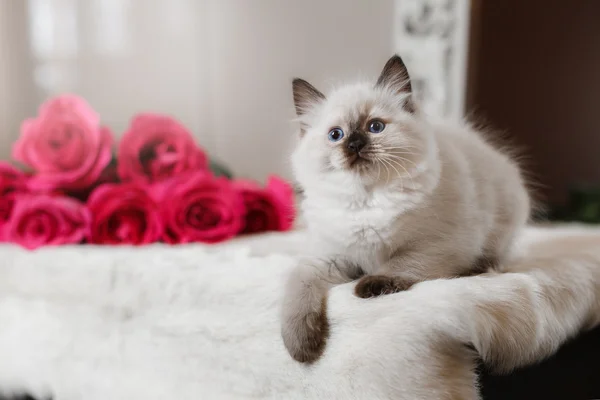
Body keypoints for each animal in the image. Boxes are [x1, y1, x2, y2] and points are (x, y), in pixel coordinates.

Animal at [282, 54, 528, 364]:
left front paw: (367, 287)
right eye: (336, 135)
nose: (354, 144)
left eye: (375, 127)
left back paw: (479, 269)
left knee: (494, 257)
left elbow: (400, 265)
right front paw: (303, 349)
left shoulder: (437, 244)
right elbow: (298, 293)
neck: (365, 200)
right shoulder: (326, 258)